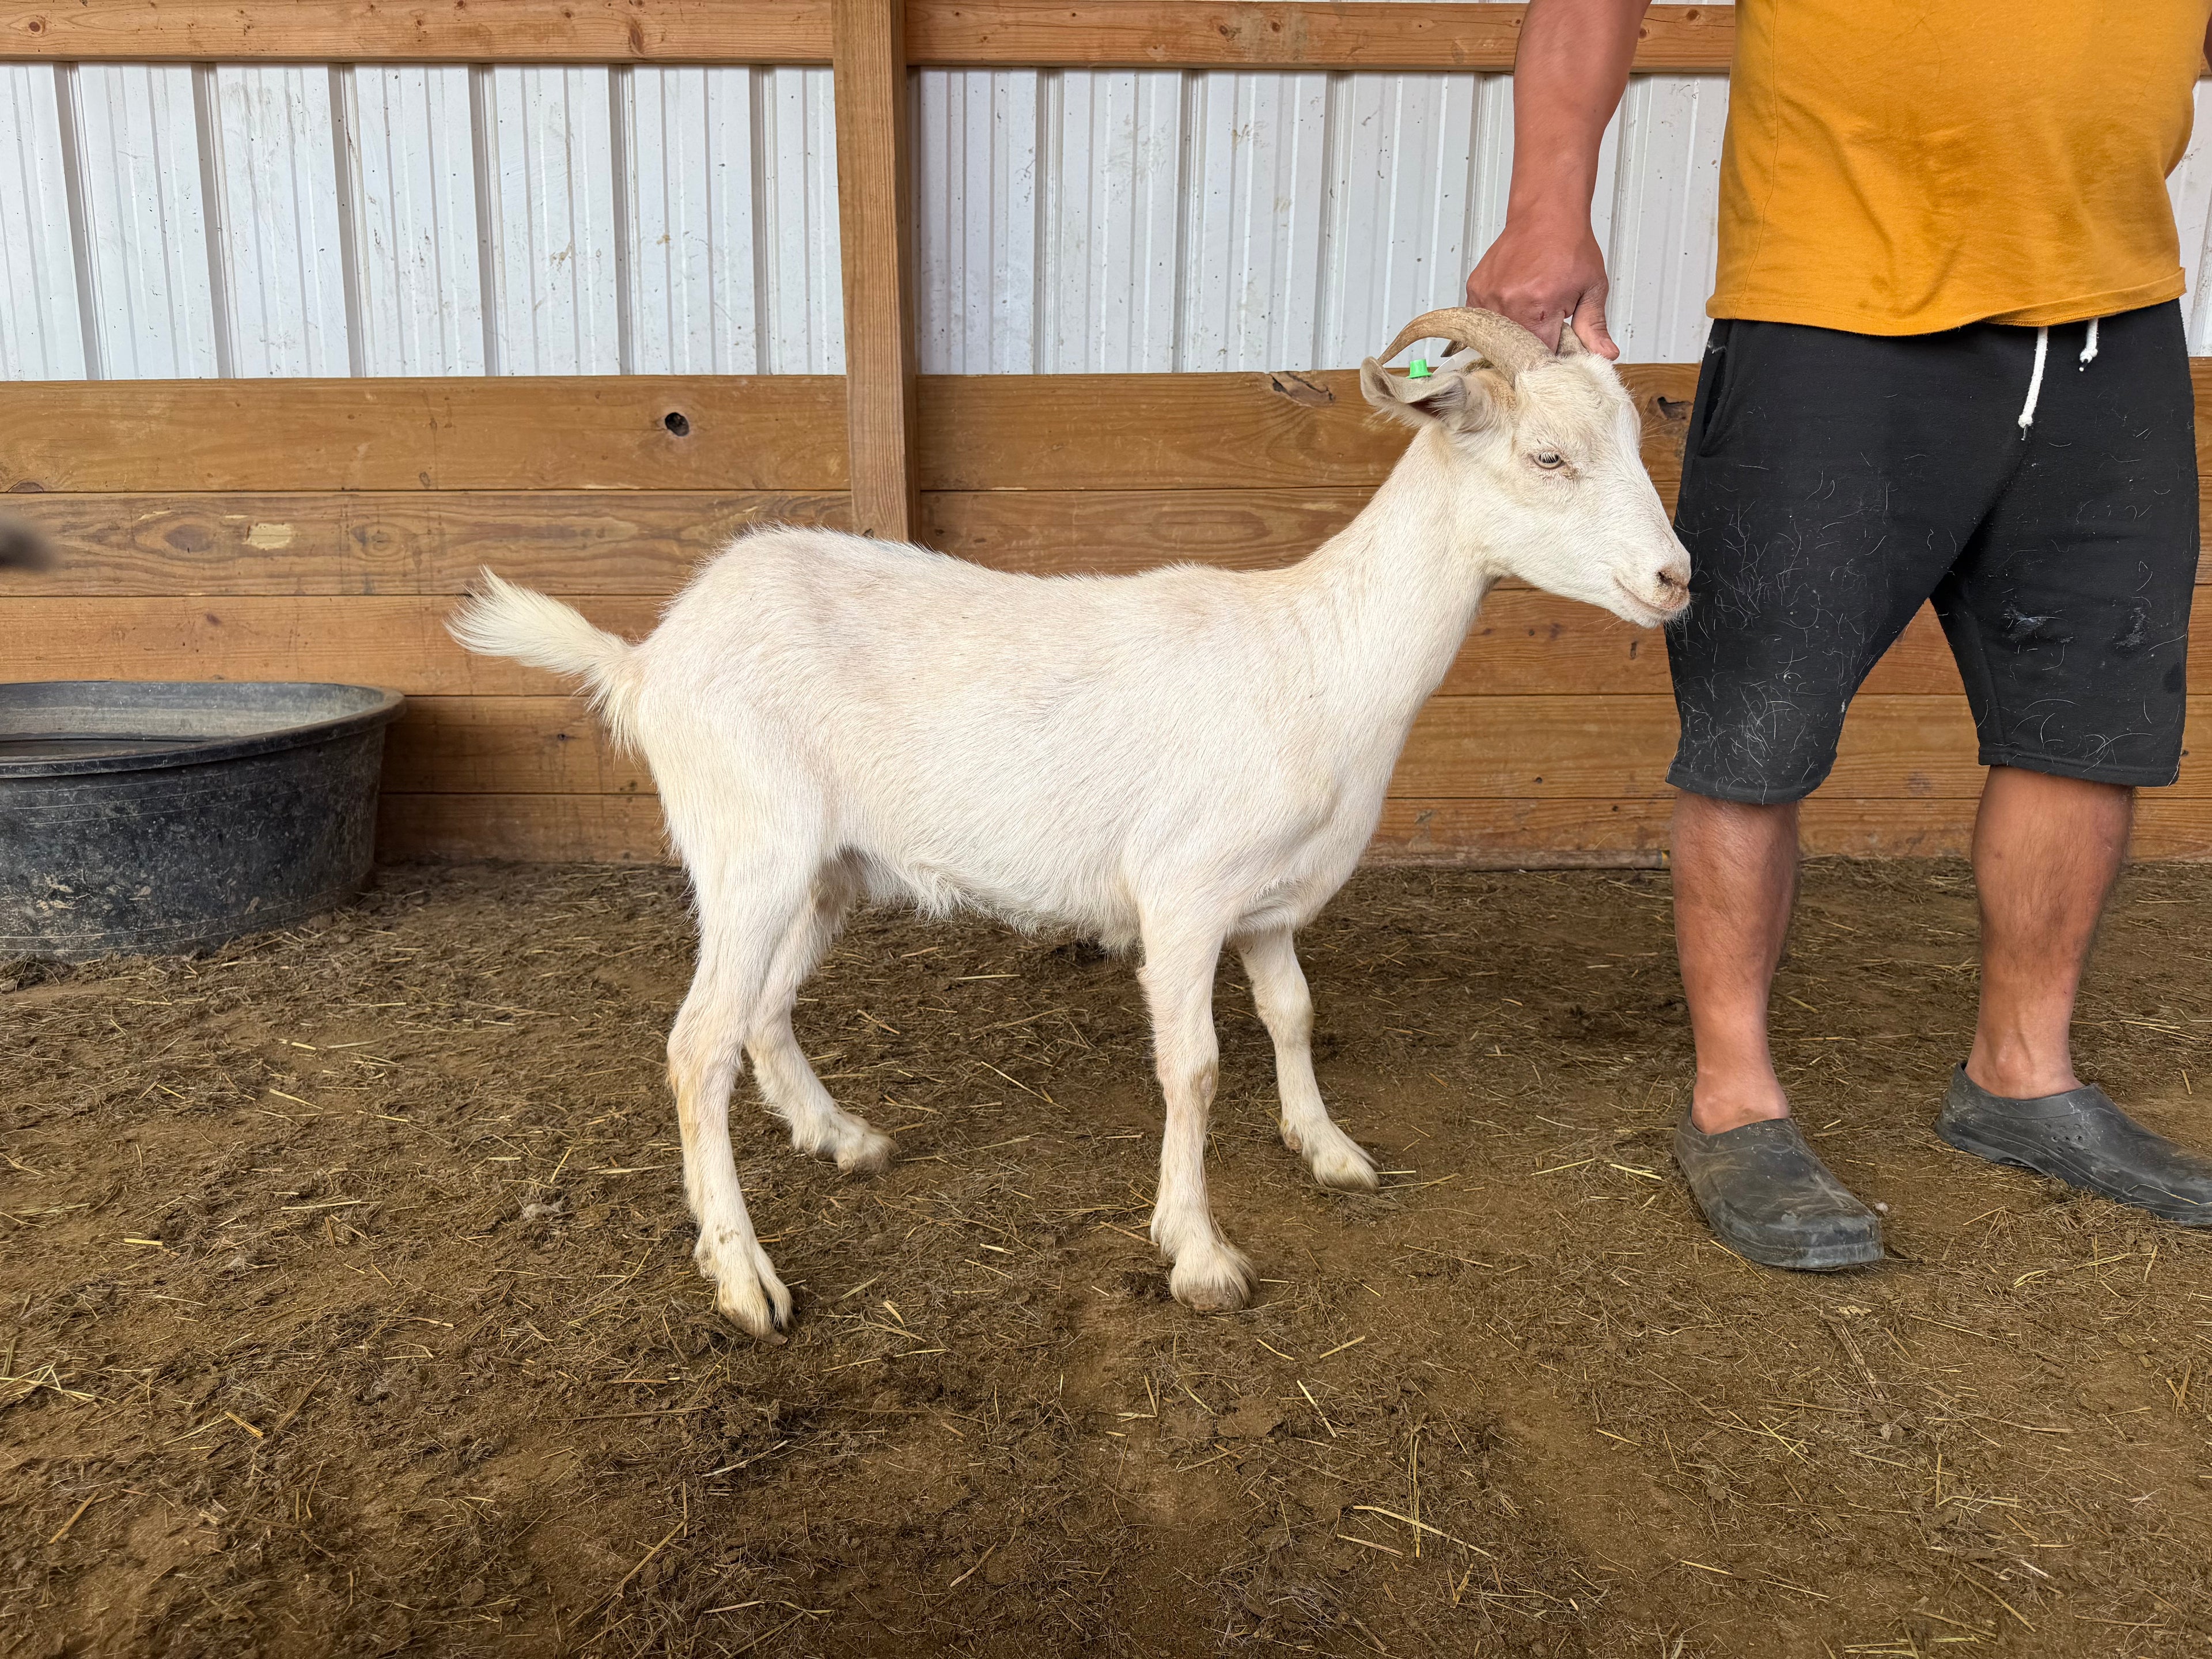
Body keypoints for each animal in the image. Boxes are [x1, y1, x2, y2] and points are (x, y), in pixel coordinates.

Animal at [450, 308, 1691, 1341]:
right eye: (1548, 456)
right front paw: (1198, 1251)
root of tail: (649, 657)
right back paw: (744, 1278)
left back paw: (844, 1139)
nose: (1676, 578)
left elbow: (1293, 1015)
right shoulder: (1184, 893)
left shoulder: (1268, 903)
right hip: (747, 845)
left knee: (760, 1013)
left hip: (827, 870)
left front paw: (1328, 1147)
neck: (1320, 655)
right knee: (697, 1044)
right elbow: (1195, 1067)